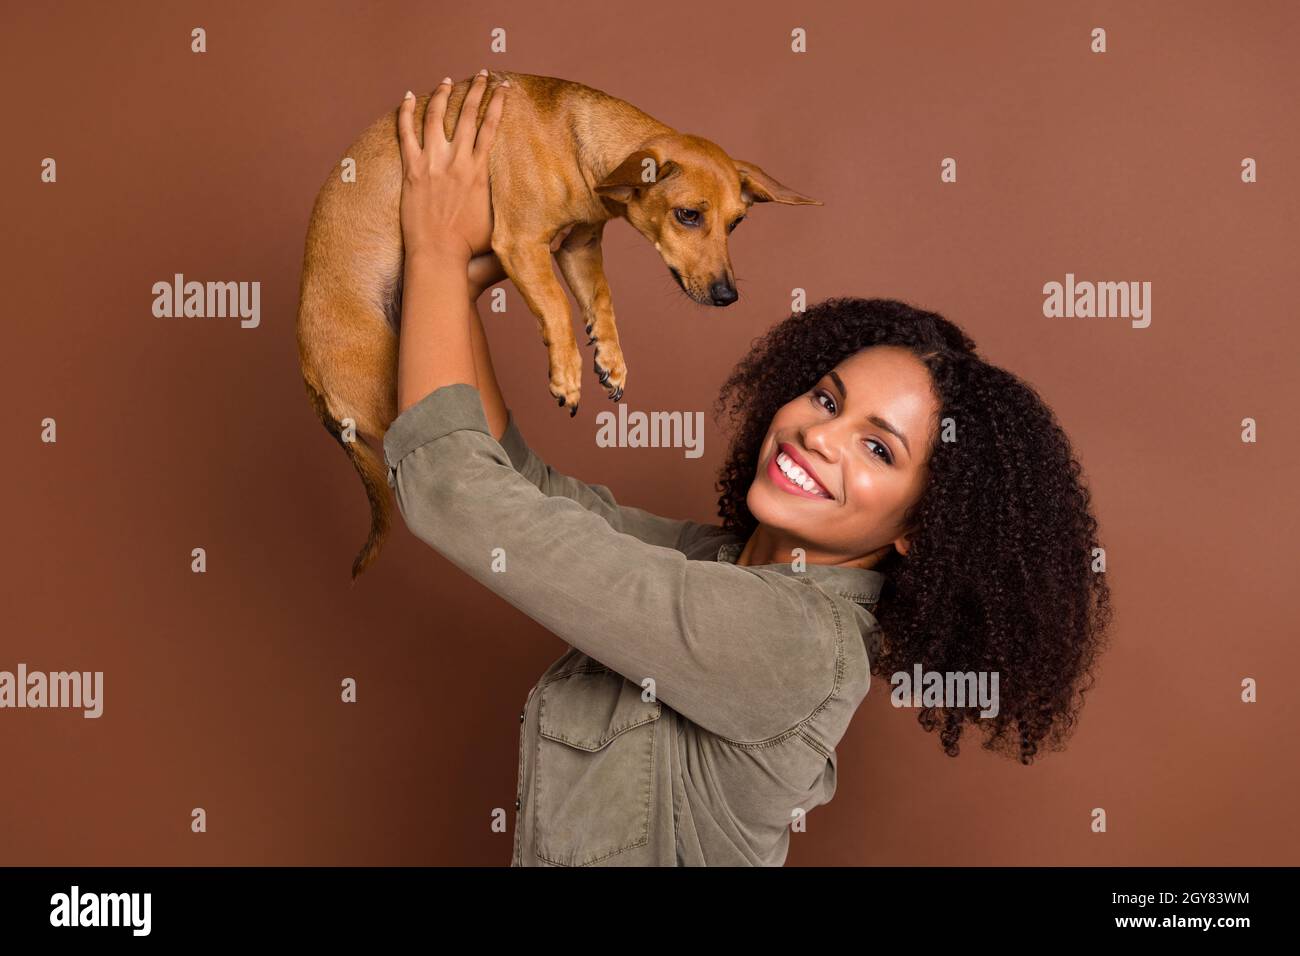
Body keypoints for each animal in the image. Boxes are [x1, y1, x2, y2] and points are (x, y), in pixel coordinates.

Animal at [297, 70, 821, 580]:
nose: (728, 296)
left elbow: (600, 299)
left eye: (736, 224)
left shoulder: (580, 246)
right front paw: (568, 374)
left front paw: (610, 358)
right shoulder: (523, 244)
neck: (575, 144)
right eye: (687, 215)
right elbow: (555, 304)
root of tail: (311, 380)